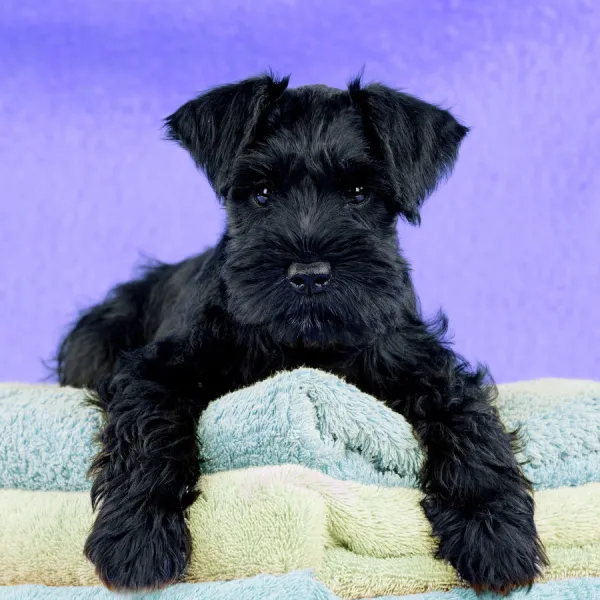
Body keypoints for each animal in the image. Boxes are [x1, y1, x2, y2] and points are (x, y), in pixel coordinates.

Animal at [57, 74, 548, 596]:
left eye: (358, 191)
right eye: (262, 192)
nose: (309, 275)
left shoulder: (426, 366)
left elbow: (469, 425)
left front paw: (495, 533)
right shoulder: (158, 368)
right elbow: (149, 431)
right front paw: (138, 534)